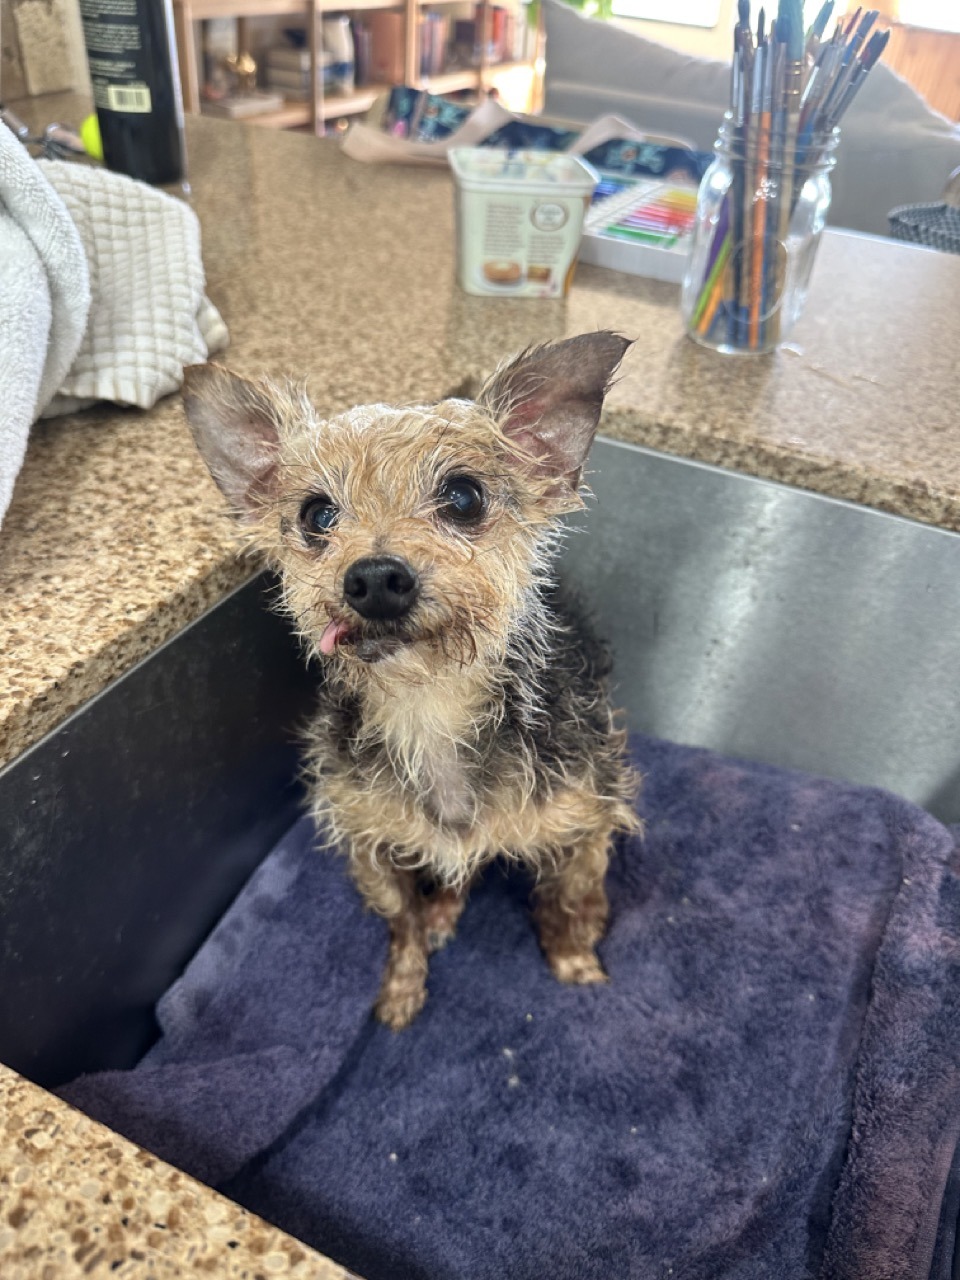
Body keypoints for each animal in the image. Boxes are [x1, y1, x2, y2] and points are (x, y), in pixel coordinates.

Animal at [185, 332, 642, 1029]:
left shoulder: (585, 818)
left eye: (464, 496)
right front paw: (404, 984)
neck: (429, 704)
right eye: (317, 514)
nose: (375, 576)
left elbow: (565, 899)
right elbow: (400, 921)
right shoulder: (368, 837)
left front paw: (574, 963)